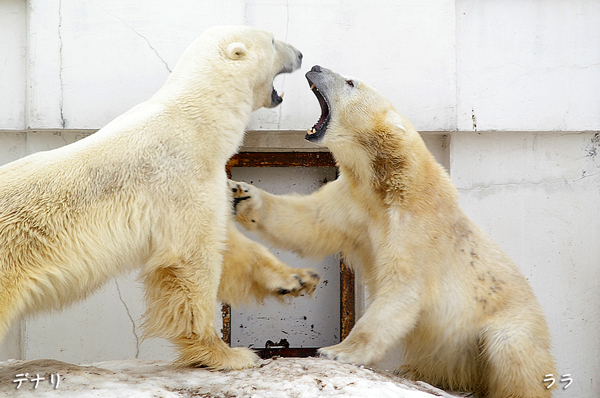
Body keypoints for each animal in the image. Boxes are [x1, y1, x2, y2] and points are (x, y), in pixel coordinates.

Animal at [0, 26, 318, 372]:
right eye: (272, 41)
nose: (301, 54)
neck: (197, 121)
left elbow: (228, 243)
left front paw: (297, 278)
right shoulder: (181, 178)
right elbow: (194, 258)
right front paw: (226, 354)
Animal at [233, 66, 556, 398]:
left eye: (350, 82)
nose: (316, 67)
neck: (387, 181)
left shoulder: (415, 226)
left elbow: (402, 287)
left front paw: (338, 351)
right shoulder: (355, 204)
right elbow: (309, 222)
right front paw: (244, 195)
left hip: (508, 323)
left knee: (512, 354)